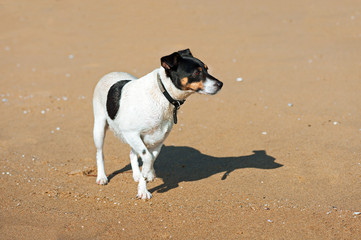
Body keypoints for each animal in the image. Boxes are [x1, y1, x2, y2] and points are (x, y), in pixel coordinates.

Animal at [92, 48, 222, 199]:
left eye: (207, 69)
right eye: (197, 72)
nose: (221, 84)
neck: (162, 93)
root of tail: (110, 73)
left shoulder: (158, 139)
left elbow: (150, 158)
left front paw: (145, 181)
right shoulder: (132, 133)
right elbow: (147, 157)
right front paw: (145, 185)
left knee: (132, 154)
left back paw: (137, 174)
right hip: (100, 128)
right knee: (100, 153)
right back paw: (102, 177)